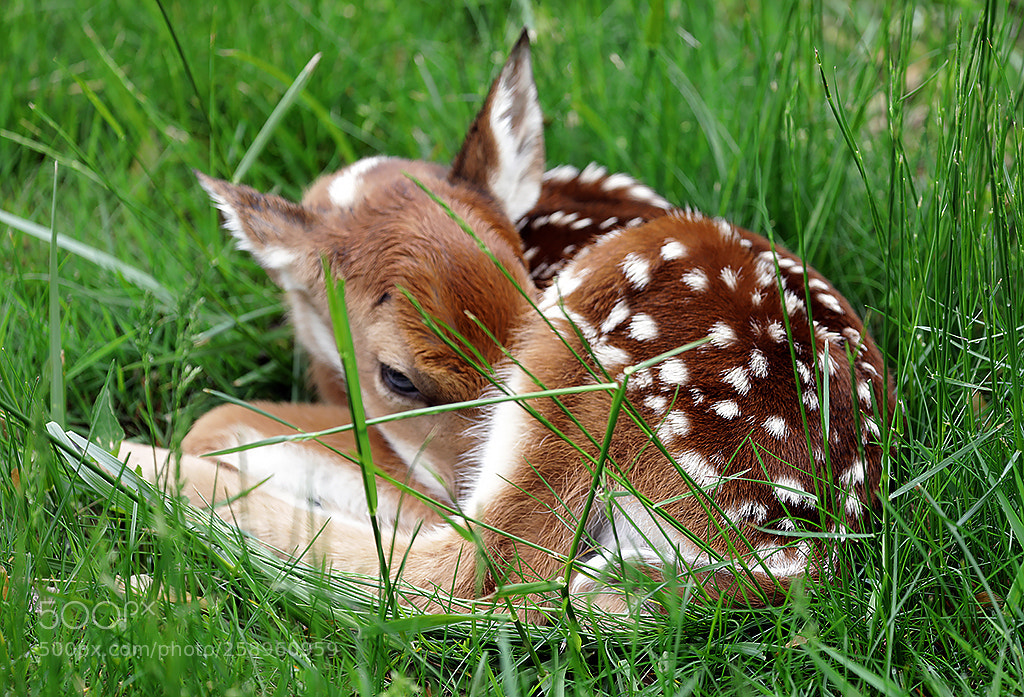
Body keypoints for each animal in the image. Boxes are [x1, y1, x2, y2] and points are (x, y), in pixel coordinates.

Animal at [120, 31, 894, 618]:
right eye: (398, 377)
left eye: (528, 295)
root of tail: (780, 559)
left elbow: (221, 419)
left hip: (588, 365)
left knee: (471, 568)